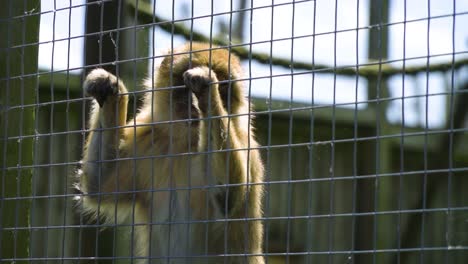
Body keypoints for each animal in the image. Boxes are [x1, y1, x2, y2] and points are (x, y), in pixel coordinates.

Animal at [78, 42, 266, 262]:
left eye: (223, 88)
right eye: (183, 88)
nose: (195, 106)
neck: (187, 144)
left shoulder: (246, 142)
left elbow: (228, 196)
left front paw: (206, 89)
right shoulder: (147, 139)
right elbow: (99, 185)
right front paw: (111, 91)